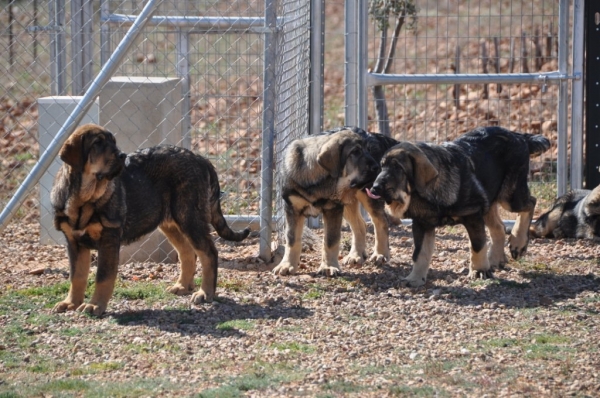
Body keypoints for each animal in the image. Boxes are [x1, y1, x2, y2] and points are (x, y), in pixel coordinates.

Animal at [50, 123, 250, 316]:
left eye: (113, 142)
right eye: (97, 143)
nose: (122, 155)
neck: (83, 198)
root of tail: (201, 159)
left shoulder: (109, 238)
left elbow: (103, 277)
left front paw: (95, 306)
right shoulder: (74, 242)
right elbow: (77, 276)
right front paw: (71, 303)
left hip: (189, 217)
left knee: (209, 253)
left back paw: (205, 293)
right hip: (171, 223)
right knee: (187, 252)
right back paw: (182, 286)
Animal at [274, 126, 398, 276]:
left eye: (368, 150)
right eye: (355, 152)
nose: (377, 168)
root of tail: (374, 134)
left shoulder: (333, 208)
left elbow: (330, 240)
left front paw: (328, 266)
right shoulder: (293, 208)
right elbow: (292, 240)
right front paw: (287, 265)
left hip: (367, 195)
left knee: (381, 221)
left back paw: (380, 254)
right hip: (348, 201)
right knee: (360, 225)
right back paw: (356, 255)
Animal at [368, 126, 552, 286]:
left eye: (398, 168)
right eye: (382, 166)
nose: (374, 188)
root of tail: (519, 136)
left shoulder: (473, 216)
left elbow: (477, 245)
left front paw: (478, 271)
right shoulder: (422, 224)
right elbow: (419, 253)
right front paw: (415, 278)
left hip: (510, 196)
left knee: (530, 203)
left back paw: (518, 243)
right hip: (489, 202)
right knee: (499, 228)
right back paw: (494, 259)